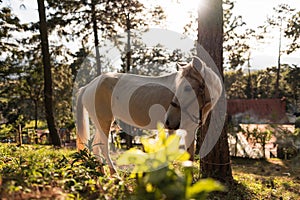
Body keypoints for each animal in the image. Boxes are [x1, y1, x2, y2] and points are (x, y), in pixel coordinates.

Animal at [76, 56, 221, 173]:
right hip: (104, 121)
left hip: (100, 122)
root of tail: (88, 86)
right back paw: (114, 175)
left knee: (96, 146)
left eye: (186, 88)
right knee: (104, 147)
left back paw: (102, 173)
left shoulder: (184, 130)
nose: (168, 121)